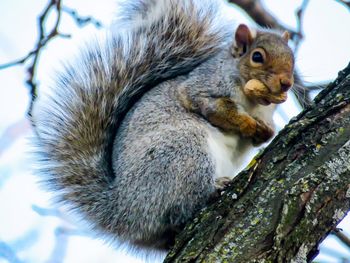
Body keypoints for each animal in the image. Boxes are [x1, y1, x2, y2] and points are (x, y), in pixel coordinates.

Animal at [34, 0, 294, 252]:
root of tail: (124, 210)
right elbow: (216, 109)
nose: (286, 83)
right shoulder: (201, 89)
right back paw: (215, 188)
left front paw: (266, 132)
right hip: (184, 152)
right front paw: (246, 124)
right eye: (257, 57)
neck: (253, 102)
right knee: (183, 205)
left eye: (292, 58)